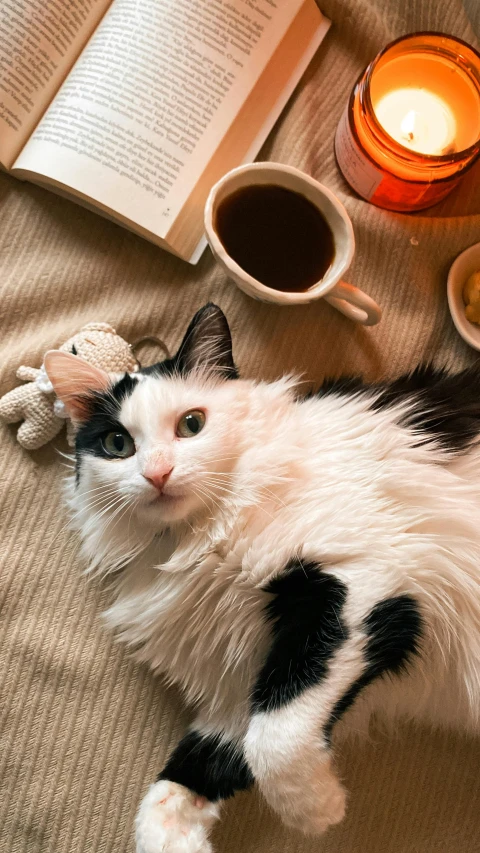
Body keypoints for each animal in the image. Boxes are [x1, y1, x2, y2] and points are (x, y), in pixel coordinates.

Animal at [45, 306, 480, 852]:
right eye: (117, 443)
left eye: (192, 424)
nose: (158, 474)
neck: (191, 543)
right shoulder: (243, 683)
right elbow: (192, 772)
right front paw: (175, 840)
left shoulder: (362, 585)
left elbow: (273, 737)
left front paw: (316, 809)